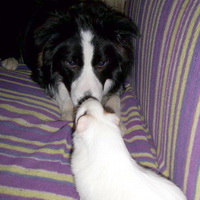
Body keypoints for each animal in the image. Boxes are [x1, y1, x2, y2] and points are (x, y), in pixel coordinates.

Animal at [0, 0, 140, 120]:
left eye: (102, 63)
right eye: (71, 63)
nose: (86, 99)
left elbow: (114, 96)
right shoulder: (43, 69)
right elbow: (59, 88)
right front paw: (69, 113)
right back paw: (10, 60)